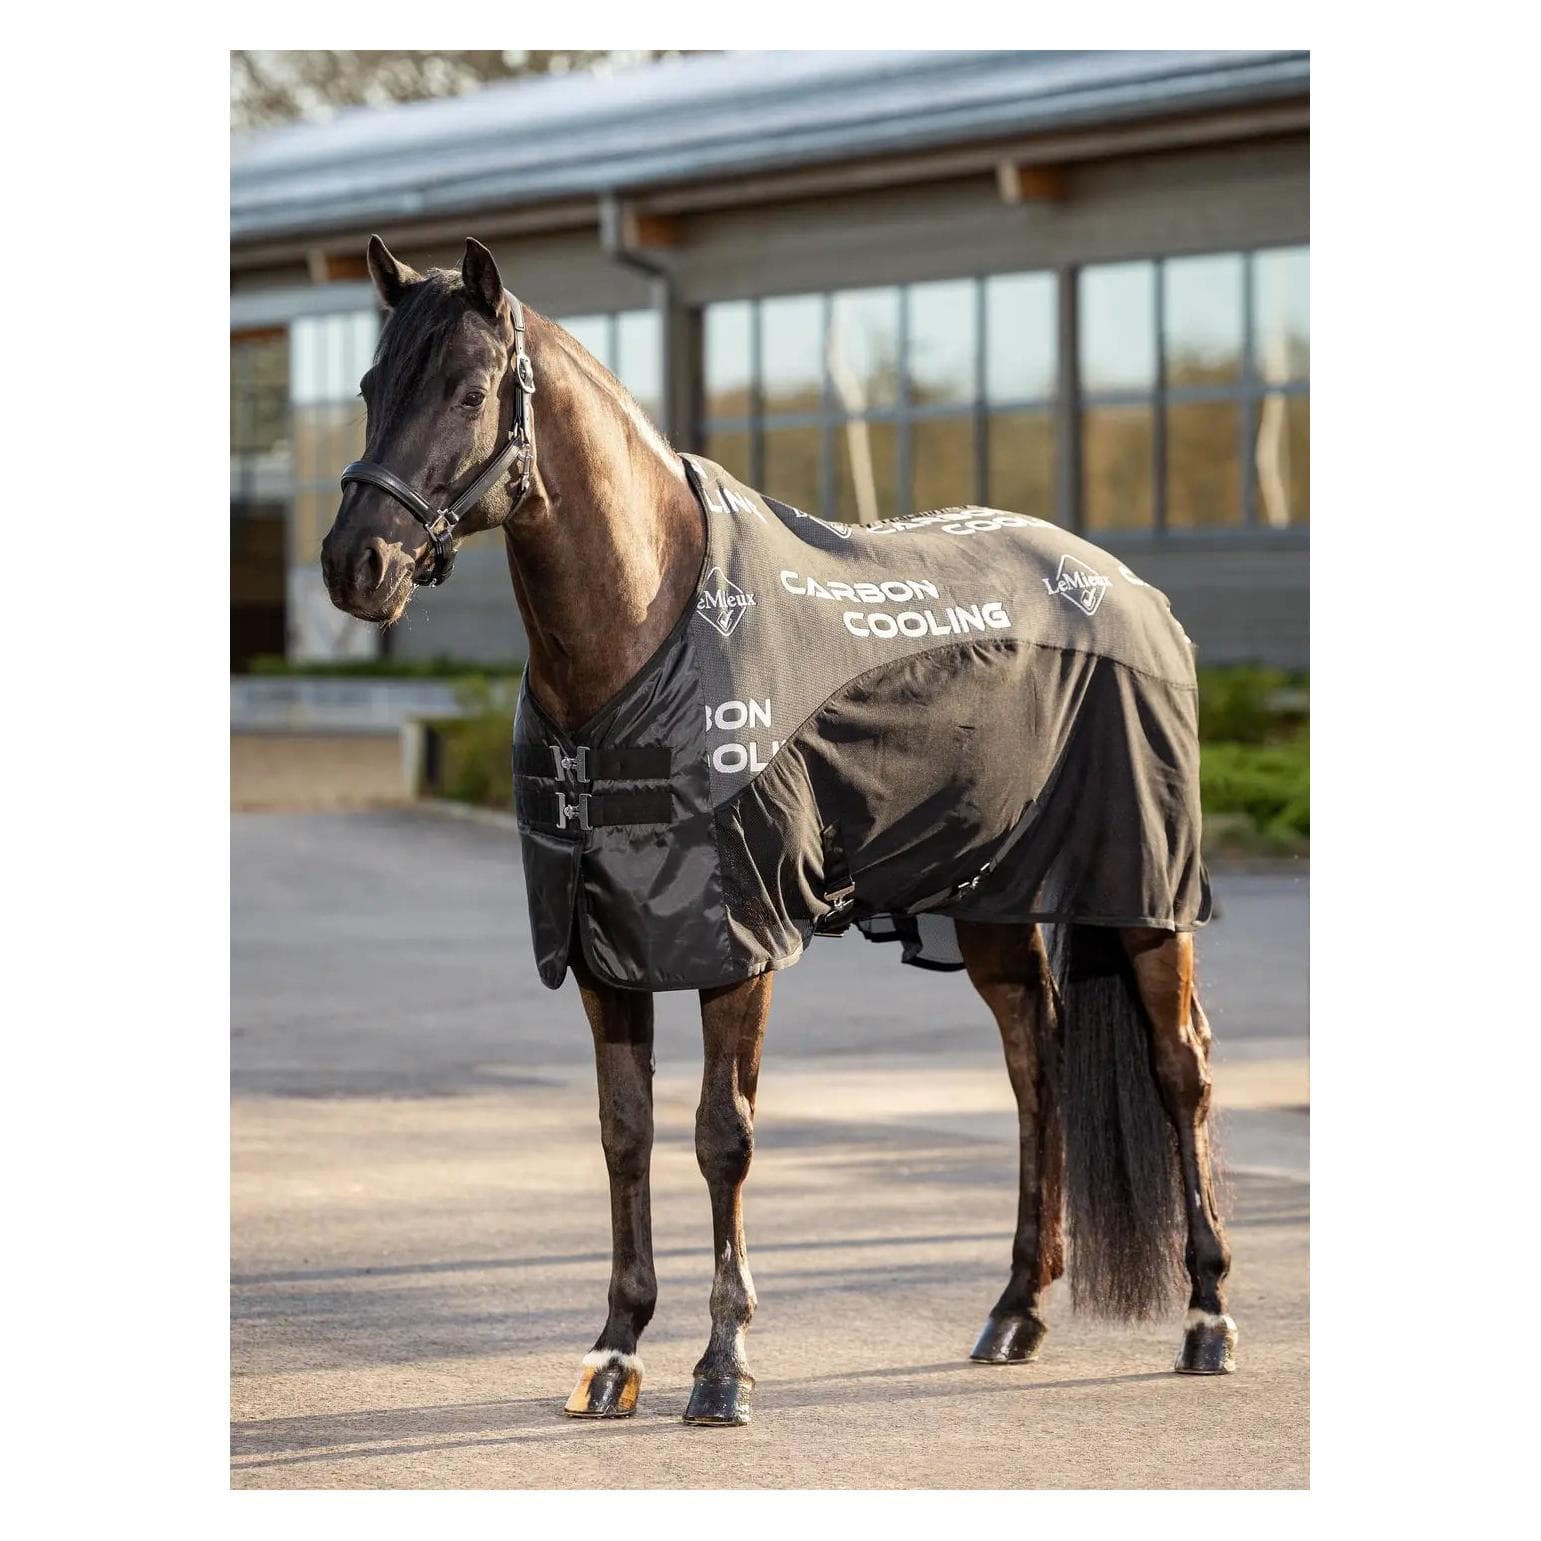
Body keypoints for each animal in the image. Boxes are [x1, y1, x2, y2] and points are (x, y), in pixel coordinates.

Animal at [320, 236, 1235, 1427]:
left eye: (470, 392)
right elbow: (624, 1131)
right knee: (1035, 1060)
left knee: (1182, 1068)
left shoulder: (736, 939)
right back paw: (1014, 1310)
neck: (646, 631)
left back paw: (1206, 1317)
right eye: (370, 387)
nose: (356, 566)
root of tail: (1129, 593)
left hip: (1142, 891)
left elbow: (724, 1133)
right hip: (990, 899)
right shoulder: (601, 942)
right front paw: (614, 1351)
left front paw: (721, 1365)